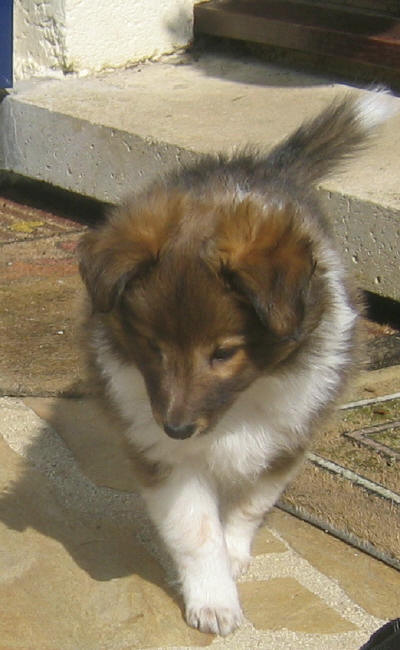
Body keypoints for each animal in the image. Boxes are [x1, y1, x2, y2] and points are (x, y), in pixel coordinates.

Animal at [78, 89, 395, 636]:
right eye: (153, 347)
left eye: (224, 352)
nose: (177, 428)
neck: (238, 407)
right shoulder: (162, 453)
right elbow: (195, 530)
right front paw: (214, 602)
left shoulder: (287, 438)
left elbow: (248, 506)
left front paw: (234, 556)